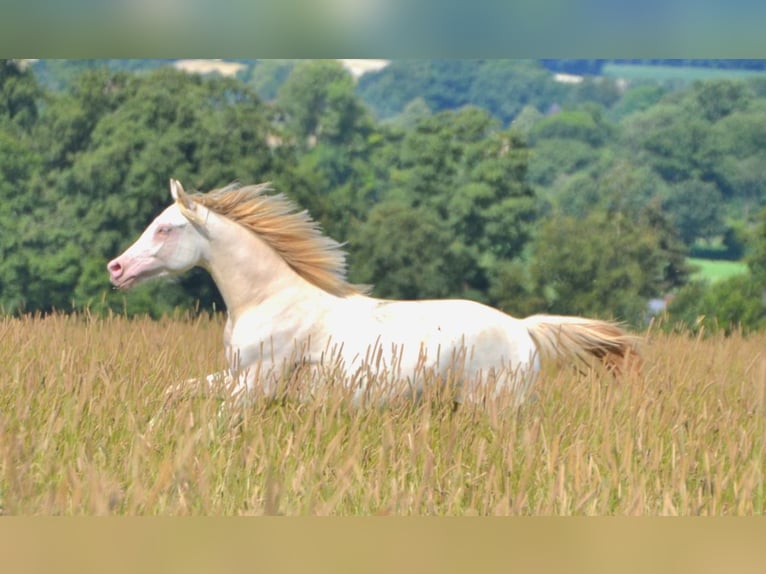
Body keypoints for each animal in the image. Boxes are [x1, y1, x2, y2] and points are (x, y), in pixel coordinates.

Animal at [105, 178, 640, 408]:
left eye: (166, 228)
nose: (116, 268)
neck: (270, 301)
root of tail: (523, 329)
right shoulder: (238, 377)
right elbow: (176, 392)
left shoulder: (256, 383)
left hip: (493, 406)